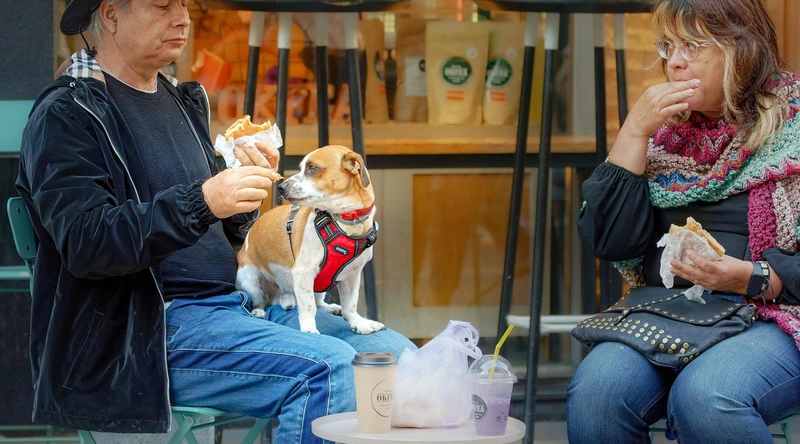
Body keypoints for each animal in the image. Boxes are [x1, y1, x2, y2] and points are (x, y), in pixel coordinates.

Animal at [235, 145, 385, 335]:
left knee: (319, 302)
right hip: (250, 280)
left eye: (312, 168)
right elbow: (308, 306)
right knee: (259, 301)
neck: (344, 221)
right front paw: (308, 329)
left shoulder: (352, 276)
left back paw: (329, 307)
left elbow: (349, 305)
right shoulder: (303, 273)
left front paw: (359, 323)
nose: (281, 187)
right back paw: (258, 311)